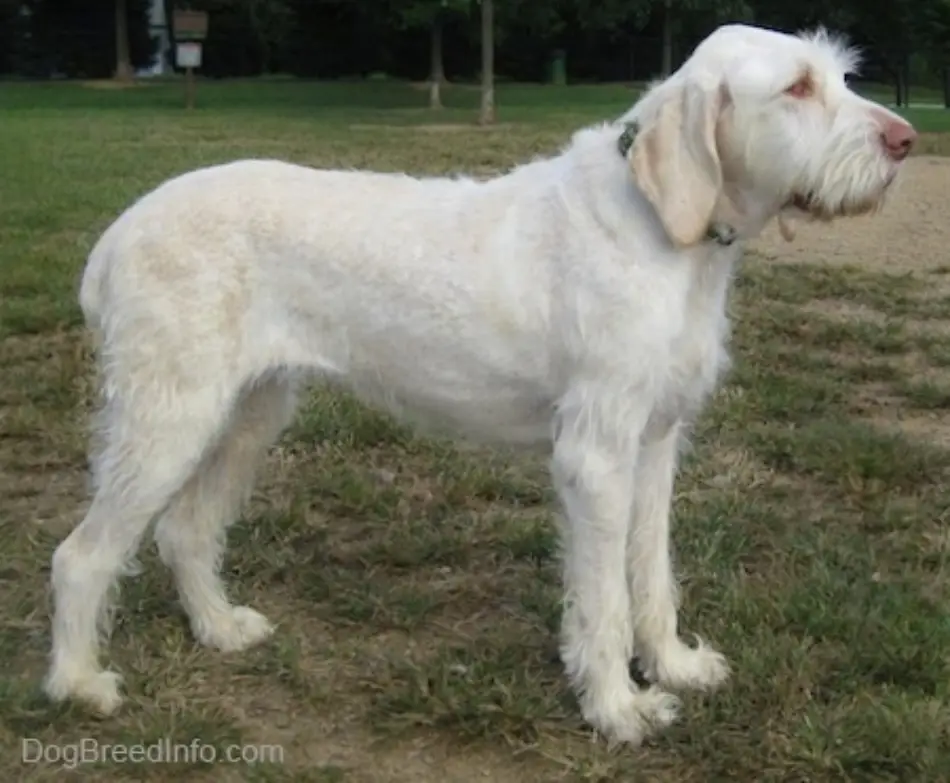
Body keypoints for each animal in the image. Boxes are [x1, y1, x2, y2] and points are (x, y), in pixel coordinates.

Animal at [42, 24, 916, 748]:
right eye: (797, 87)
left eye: (838, 75)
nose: (906, 140)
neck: (665, 231)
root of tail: (118, 234)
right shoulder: (596, 455)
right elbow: (602, 595)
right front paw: (617, 709)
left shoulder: (656, 440)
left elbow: (651, 570)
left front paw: (671, 664)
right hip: (168, 417)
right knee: (83, 553)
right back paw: (79, 684)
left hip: (249, 412)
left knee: (186, 527)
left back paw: (220, 628)